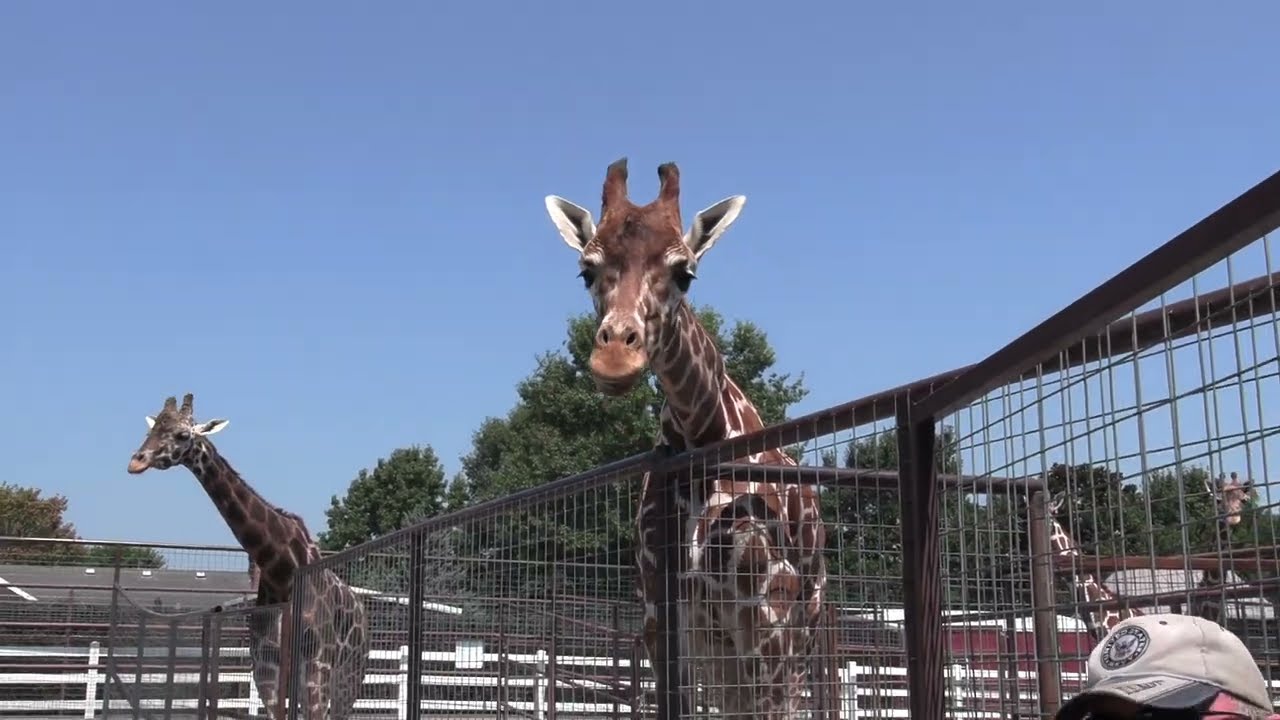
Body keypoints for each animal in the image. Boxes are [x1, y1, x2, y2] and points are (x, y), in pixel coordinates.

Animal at [125, 393, 369, 720]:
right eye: (150, 430)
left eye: (183, 434)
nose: (136, 461)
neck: (281, 570)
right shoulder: (266, 665)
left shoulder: (319, 662)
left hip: (350, 672)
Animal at [543, 158, 828, 720]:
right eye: (587, 270)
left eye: (685, 273)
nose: (615, 357)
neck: (703, 434)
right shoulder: (663, 613)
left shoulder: (767, 613)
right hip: (721, 647)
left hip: (802, 626)